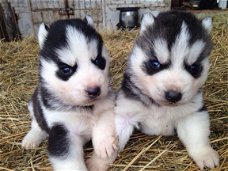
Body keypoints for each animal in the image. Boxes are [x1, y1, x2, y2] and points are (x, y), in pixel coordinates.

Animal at [21, 16, 116, 171]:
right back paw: (31, 138)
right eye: (66, 69)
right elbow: (70, 162)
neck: (85, 108)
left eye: (98, 60)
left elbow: (105, 119)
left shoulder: (107, 105)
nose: (94, 90)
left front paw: (104, 144)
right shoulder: (62, 130)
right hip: (33, 105)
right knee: (37, 123)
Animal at [116, 11, 219, 170]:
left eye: (194, 68)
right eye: (155, 64)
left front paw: (205, 153)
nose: (173, 95)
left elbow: (196, 135)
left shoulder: (192, 113)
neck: (160, 107)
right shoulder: (126, 111)